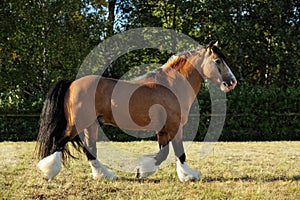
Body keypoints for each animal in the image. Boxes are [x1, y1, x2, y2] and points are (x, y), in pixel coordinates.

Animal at [35, 41, 237, 182]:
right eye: (218, 61)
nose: (232, 82)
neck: (172, 84)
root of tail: (72, 84)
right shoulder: (174, 126)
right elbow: (178, 153)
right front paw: (189, 176)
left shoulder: (163, 129)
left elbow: (164, 153)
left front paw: (142, 172)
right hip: (77, 124)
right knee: (59, 142)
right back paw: (48, 172)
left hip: (90, 125)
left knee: (90, 150)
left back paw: (105, 175)